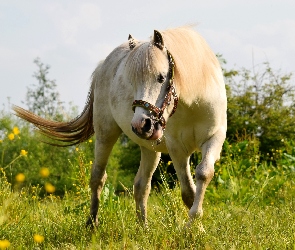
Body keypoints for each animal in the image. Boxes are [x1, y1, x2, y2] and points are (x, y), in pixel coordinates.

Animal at [12, 26, 228, 228]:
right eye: (131, 80)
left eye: (160, 77)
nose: (142, 124)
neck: (193, 102)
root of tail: (103, 66)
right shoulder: (177, 148)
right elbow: (188, 193)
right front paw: (193, 229)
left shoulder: (214, 138)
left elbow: (203, 173)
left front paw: (196, 226)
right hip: (105, 134)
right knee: (98, 177)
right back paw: (92, 223)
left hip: (150, 149)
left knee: (141, 185)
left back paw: (144, 228)